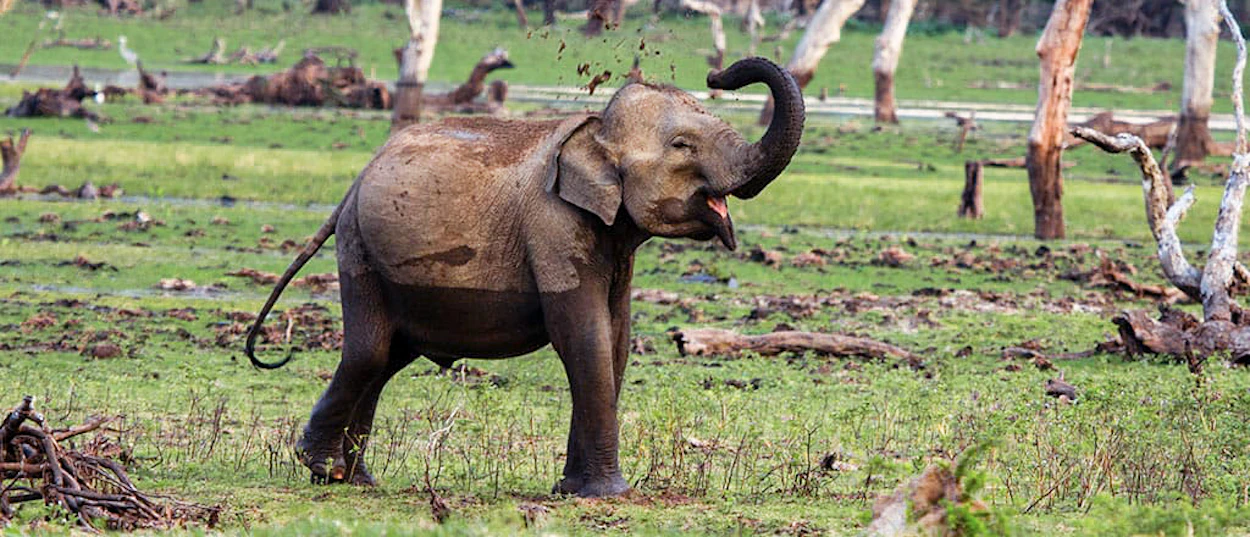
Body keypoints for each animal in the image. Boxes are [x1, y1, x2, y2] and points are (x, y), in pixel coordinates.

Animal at [244, 56, 805, 498]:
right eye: (683, 146)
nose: (717, 72)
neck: (594, 129)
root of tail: (357, 179)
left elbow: (615, 340)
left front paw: (571, 490)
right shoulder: (553, 225)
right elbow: (583, 336)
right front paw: (608, 495)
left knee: (385, 360)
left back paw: (356, 479)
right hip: (358, 247)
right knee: (368, 351)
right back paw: (322, 468)